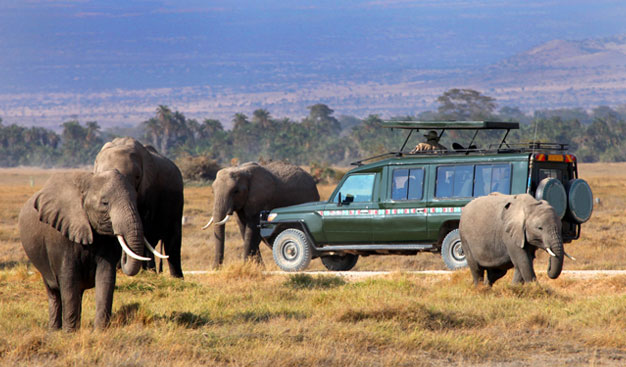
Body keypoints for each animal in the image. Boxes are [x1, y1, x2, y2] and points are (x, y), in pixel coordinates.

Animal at [19, 171, 165, 332]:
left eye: (136, 200)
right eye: (105, 203)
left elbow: (105, 278)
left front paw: (100, 331)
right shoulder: (61, 236)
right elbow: (68, 280)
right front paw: (69, 333)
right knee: (54, 292)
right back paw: (54, 331)